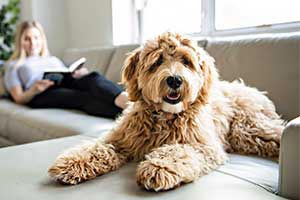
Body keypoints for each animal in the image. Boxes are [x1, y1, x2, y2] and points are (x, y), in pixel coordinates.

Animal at [48, 32, 284, 191]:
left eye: (186, 61)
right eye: (158, 61)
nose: (174, 80)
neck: (165, 116)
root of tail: (251, 89)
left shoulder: (203, 146)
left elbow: (178, 151)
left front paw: (159, 167)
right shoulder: (120, 139)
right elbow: (97, 147)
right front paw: (72, 163)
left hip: (247, 129)